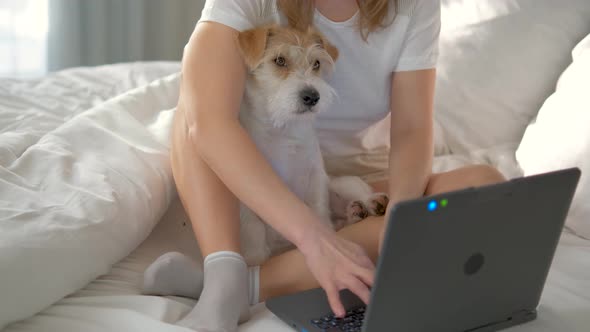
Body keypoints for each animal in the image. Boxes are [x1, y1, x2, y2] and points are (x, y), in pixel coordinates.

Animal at [236, 24, 394, 266]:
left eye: (316, 64)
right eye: (279, 60)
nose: (312, 96)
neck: (283, 127)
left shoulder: (315, 176)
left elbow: (318, 210)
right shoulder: (249, 184)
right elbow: (253, 228)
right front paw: (256, 259)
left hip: (342, 183)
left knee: (355, 196)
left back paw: (369, 204)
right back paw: (356, 211)